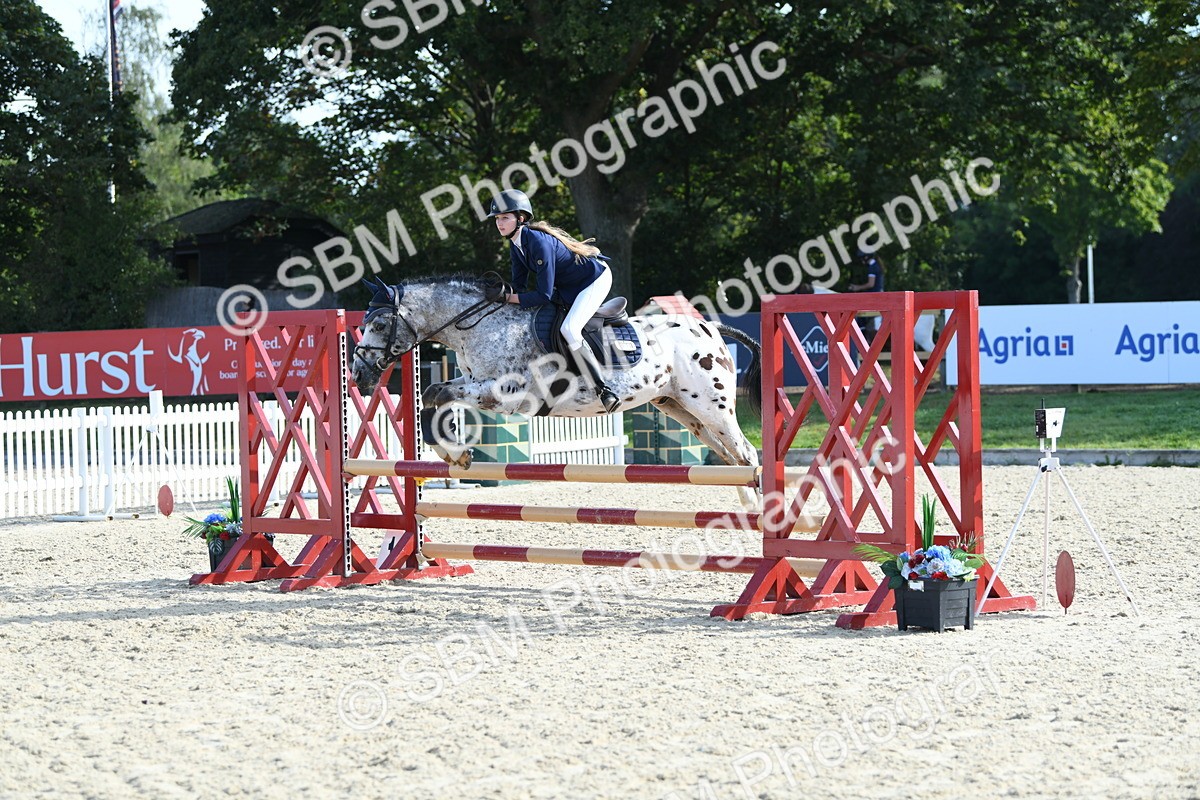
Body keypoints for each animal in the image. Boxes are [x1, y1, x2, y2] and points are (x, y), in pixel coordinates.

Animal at [349, 274, 764, 509]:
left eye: (381, 324)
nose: (358, 374)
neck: (478, 325)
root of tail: (709, 327)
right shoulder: (473, 383)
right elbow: (433, 397)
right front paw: (456, 454)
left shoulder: (504, 393)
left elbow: (438, 394)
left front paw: (457, 452)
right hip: (681, 408)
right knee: (732, 457)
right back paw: (747, 507)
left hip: (712, 405)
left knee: (746, 453)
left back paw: (760, 518)